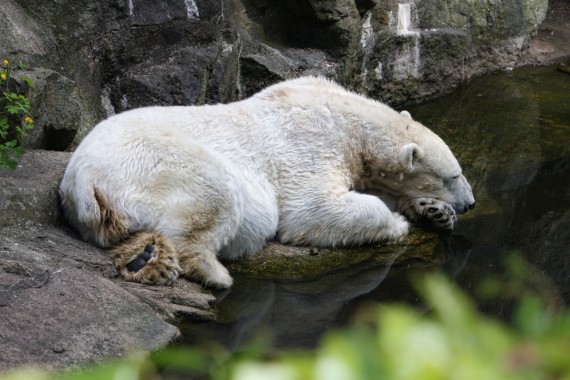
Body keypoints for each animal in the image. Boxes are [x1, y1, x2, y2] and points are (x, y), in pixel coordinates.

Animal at [58, 76, 474, 288]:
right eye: (452, 175)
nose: (470, 202)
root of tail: (81, 180)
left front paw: (434, 212)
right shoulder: (309, 143)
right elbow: (314, 209)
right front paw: (399, 222)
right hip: (156, 163)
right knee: (215, 192)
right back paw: (213, 272)